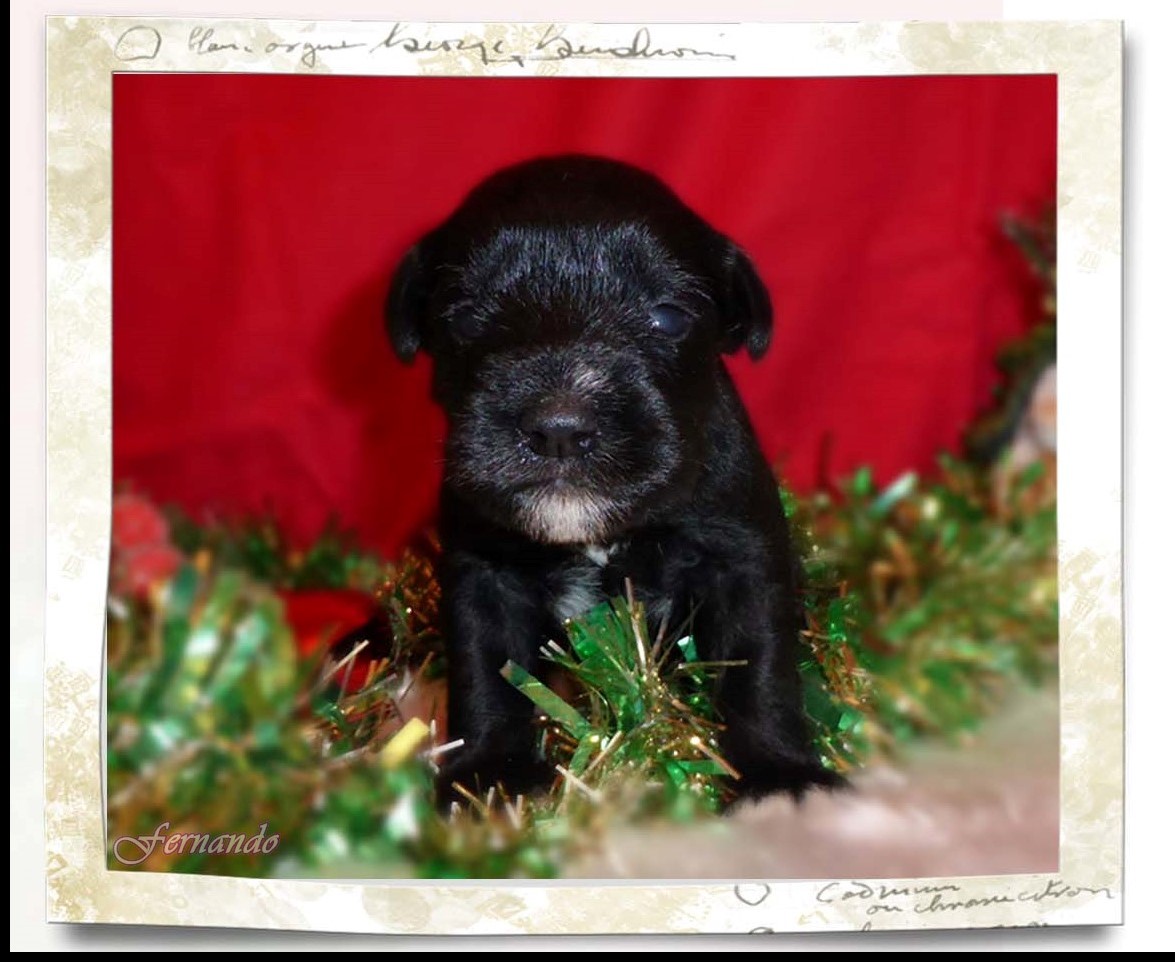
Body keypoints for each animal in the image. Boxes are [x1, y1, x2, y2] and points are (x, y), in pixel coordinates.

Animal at [385, 155, 840, 804]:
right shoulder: (484, 574)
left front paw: (779, 773)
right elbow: (489, 672)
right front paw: (490, 771)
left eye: (668, 317)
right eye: (466, 318)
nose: (559, 426)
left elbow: (758, 666)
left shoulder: (740, 558)